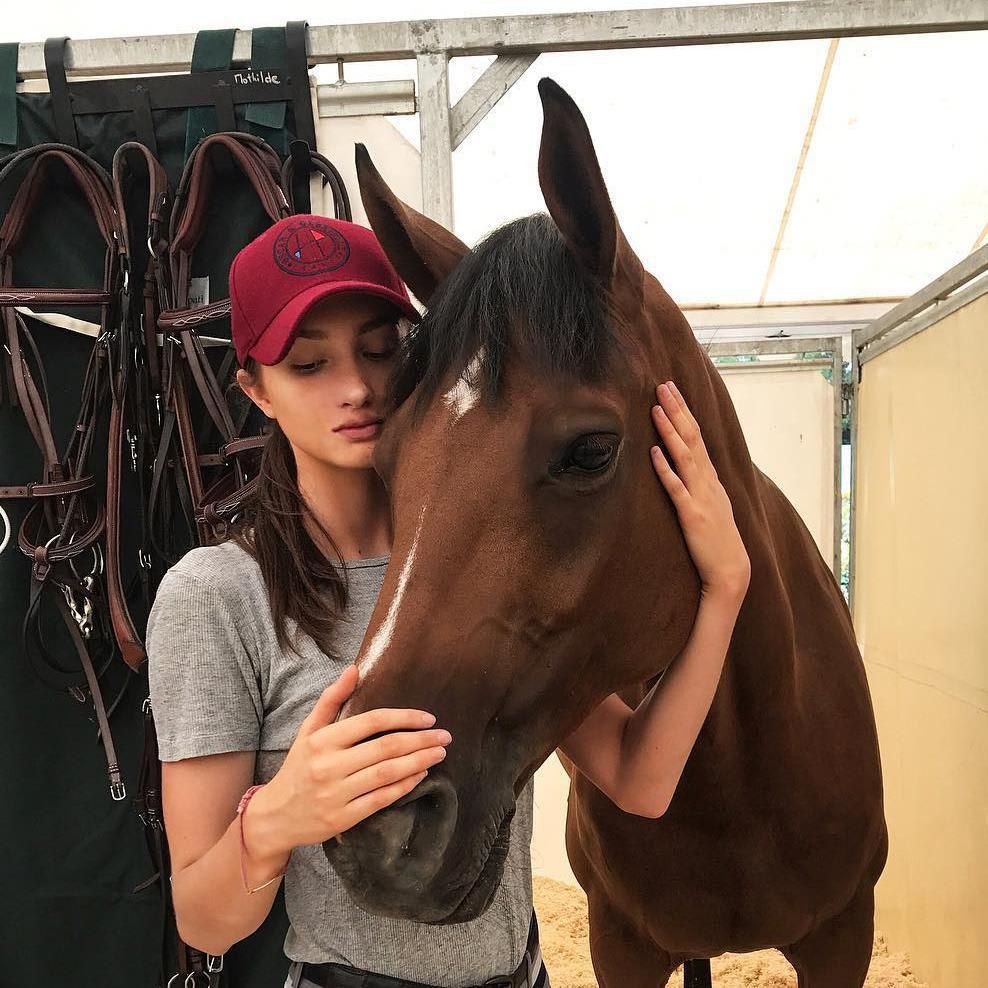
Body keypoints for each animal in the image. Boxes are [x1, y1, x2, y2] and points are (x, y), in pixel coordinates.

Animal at [326, 81, 888, 988]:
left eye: (590, 450)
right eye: (385, 461)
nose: (377, 830)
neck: (746, 777)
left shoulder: (843, 938)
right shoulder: (620, 940)